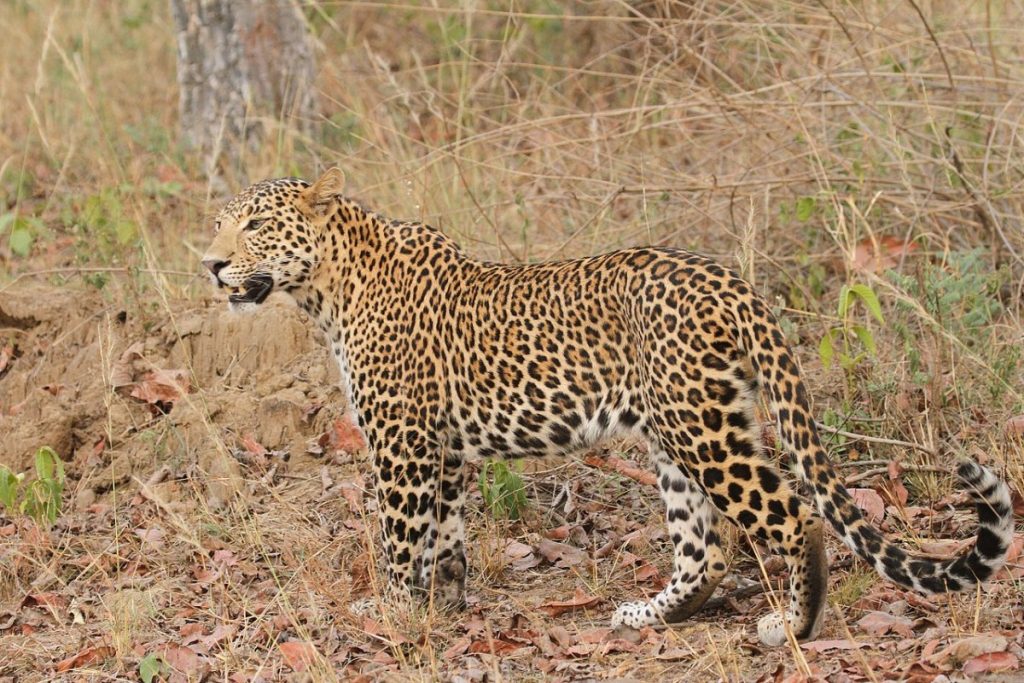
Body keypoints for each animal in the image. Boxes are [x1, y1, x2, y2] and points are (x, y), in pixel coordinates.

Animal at [201, 168, 1015, 646]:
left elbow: (402, 537)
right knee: (706, 547)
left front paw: (396, 613)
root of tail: (734, 283)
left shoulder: (403, 442)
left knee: (790, 514)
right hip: (679, 429)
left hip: (700, 429)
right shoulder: (445, 447)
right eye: (221, 222)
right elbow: (446, 535)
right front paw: (444, 604)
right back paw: (651, 614)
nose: (209, 264)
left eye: (254, 225)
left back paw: (793, 623)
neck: (326, 290)